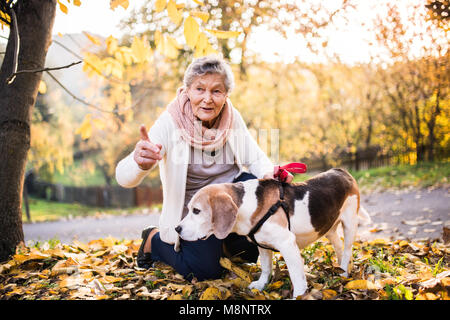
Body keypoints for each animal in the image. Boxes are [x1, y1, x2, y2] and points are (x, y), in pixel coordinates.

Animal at [175, 168, 370, 298]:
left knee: (347, 250)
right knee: (338, 246)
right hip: (328, 228)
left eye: (196, 211)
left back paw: (344, 272)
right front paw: (261, 285)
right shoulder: (262, 245)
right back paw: (341, 268)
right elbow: (266, 267)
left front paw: (299, 296)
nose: (177, 229)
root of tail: (342, 171)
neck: (248, 205)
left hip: (350, 223)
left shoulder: (287, 244)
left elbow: (297, 276)